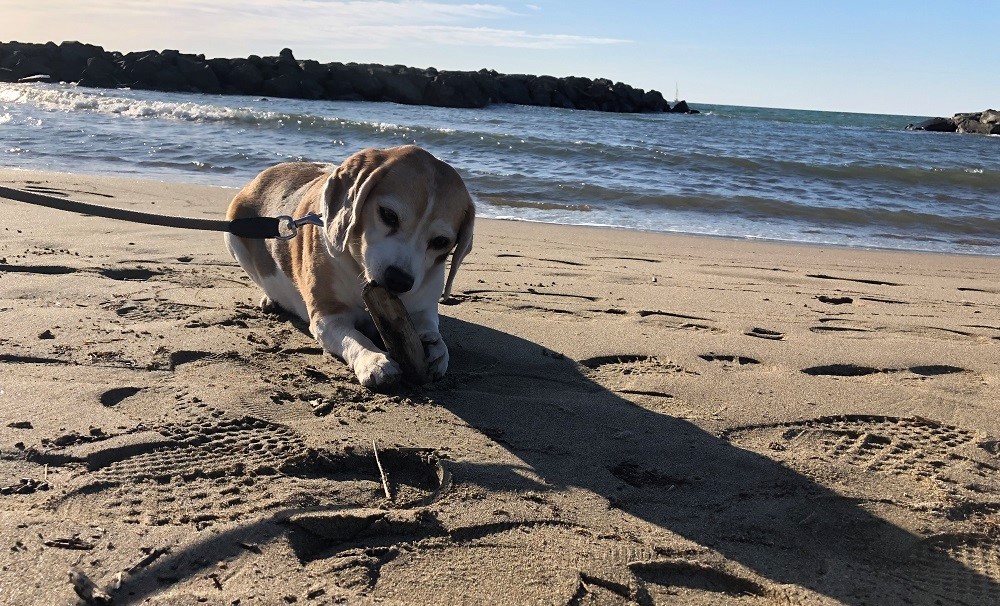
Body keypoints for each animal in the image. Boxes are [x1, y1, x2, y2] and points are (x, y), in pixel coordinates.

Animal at [225, 146, 474, 390]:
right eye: (388, 215)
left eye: (441, 242)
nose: (399, 280)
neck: (360, 272)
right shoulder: (327, 318)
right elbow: (354, 338)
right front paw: (373, 360)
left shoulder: (424, 307)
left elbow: (431, 327)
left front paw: (437, 349)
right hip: (233, 237)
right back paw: (271, 299)